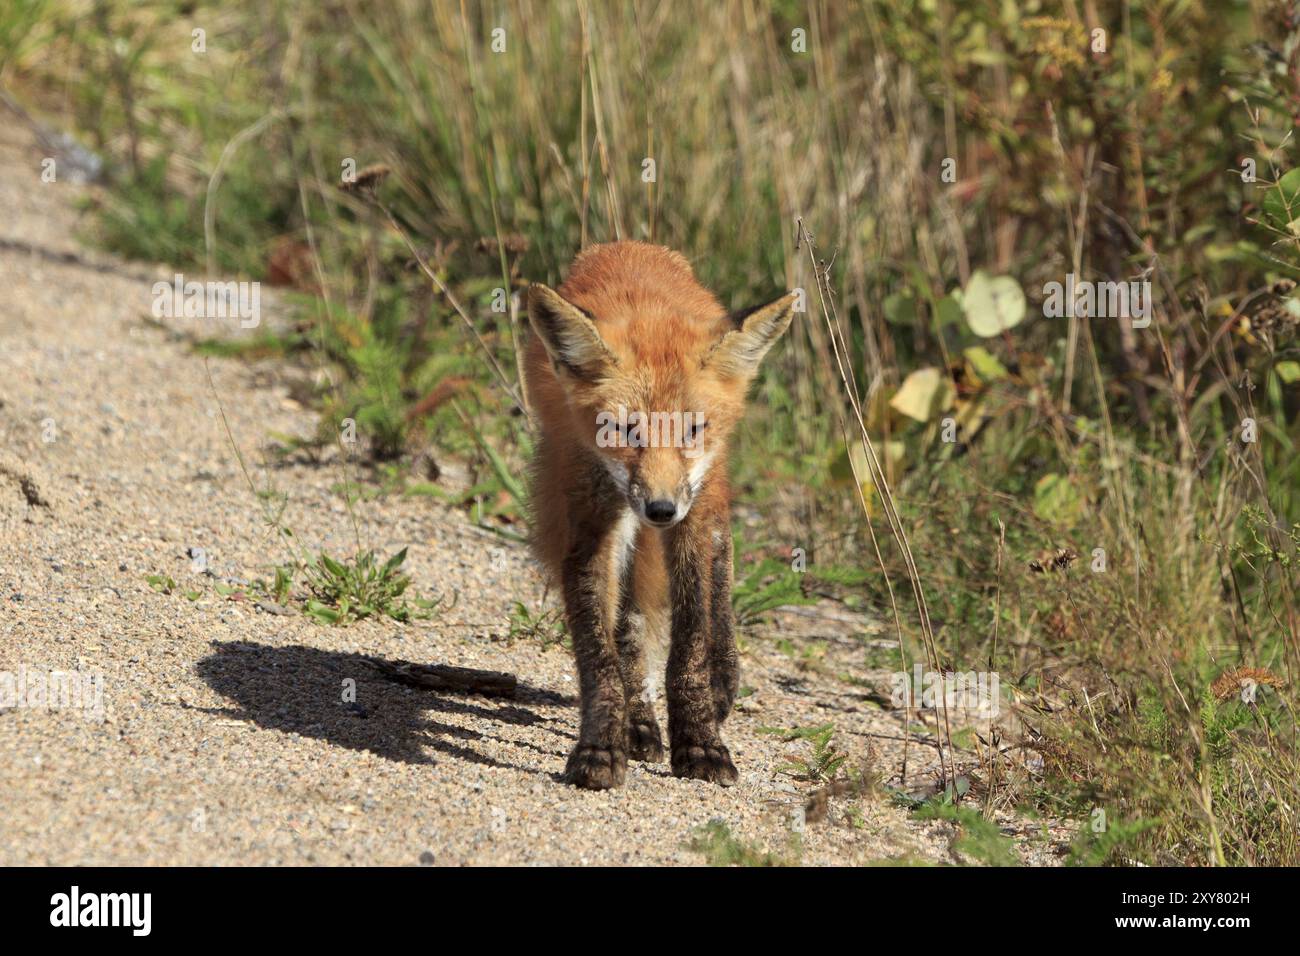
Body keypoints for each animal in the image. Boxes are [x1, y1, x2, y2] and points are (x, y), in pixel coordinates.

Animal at [524, 241, 795, 790]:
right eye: (624, 430)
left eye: (691, 428)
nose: (660, 510)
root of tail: (631, 246)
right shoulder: (589, 520)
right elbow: (600, 651)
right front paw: (602, 745)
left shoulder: (690, 521)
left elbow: (691, 642)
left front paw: (700, 742)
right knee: (629, 623)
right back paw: (640, 723)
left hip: (708, 492)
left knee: (721, 572)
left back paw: (721, 680)